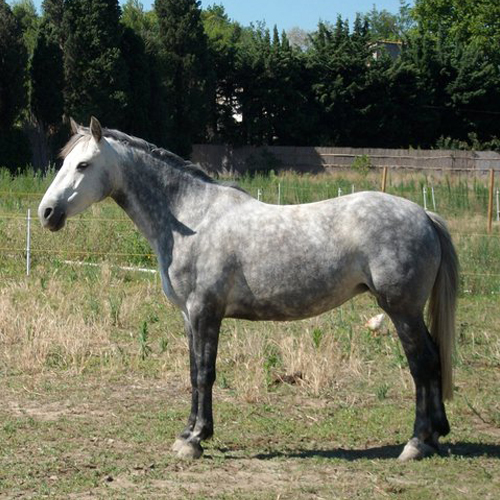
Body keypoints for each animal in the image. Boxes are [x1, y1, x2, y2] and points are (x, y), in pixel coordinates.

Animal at [39, 117, 458, 460]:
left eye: (83, 165)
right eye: (63, 162)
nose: (47, 213)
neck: (192, 218)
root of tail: (424, 215)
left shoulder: (205, 311)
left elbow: (205, 372)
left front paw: (196, 440)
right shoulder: (190, 316)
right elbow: (193, 370)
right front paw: (188, 433)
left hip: (401, 309)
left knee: (422, 364)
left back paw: (417, 442)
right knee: (434, 359)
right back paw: (436, 435)